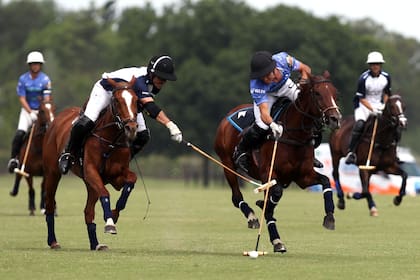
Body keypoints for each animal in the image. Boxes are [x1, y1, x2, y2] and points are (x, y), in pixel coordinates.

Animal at [43, 77, 138, 250]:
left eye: (136, 100)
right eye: (116, 100)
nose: (131, 127)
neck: (110, 140)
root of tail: (57, 118)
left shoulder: (116, 176)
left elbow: (131, 181)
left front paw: (114, 214)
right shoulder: (91, 171)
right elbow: (105, 194)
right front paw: (110, 223)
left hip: (89, 184)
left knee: (88, 211)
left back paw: (96, 244)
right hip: (52, 172)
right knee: (50, 204)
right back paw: (53, 241)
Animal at [213, 71, 342, 253]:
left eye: (335, 93)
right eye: (317, 93)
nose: (335, 119)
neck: (294, 135)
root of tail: (229, 114)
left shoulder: (303, 177)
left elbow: (325, 181)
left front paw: (329, 217)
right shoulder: (269, 173)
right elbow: (275, 197)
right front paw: (266, 216)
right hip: (227, 164)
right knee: (236, 196)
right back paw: (252, 217)